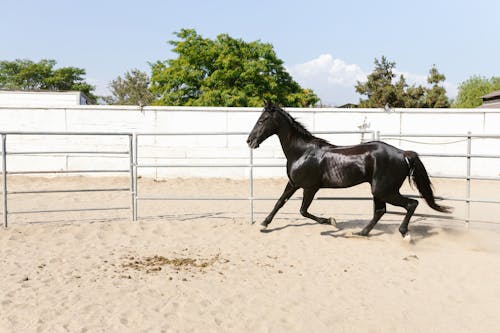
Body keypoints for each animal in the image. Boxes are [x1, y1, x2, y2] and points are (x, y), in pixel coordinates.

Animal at [245, 104, 450, 236]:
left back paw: (404, 233)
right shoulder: (293, 183)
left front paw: (331, 222)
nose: (249, 141)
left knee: (411, 204)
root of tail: (403, 154)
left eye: (262, 120)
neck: (302, 152)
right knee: (380, 211)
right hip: (379, 191)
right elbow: (280, 202)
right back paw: (362, 232)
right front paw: (264, 224)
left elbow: (303, 210)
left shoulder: (309, 188)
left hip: (384, 190)